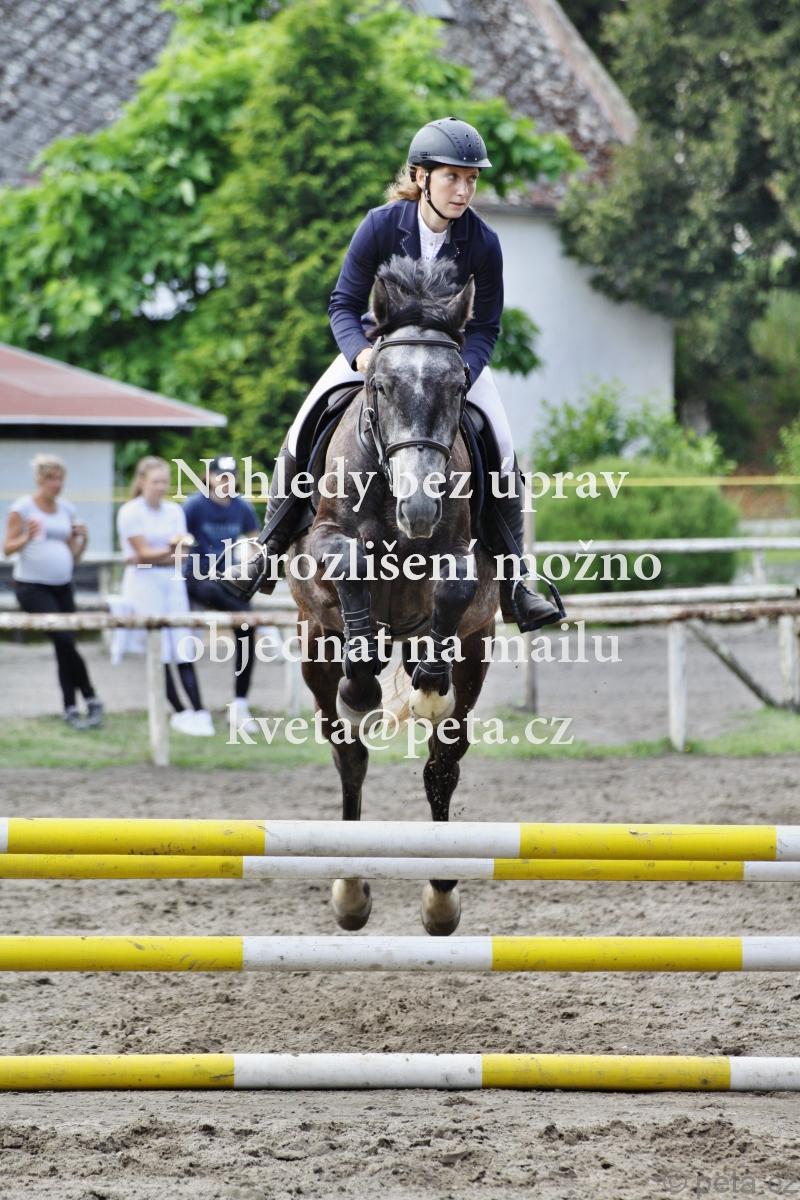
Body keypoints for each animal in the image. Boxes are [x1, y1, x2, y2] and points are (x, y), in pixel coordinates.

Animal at [287, 255, 499, 936]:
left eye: (457, 387)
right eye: (379, 386)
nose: (420, 509)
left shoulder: (468, 564)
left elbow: (453, 585)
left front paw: (430, 682)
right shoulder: (324, 544)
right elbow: (349, 561)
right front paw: (362, 690)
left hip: (477, 654)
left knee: (442, 762)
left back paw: (440, 897)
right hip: (315, 646)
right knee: (349, 752)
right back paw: (350, 891)